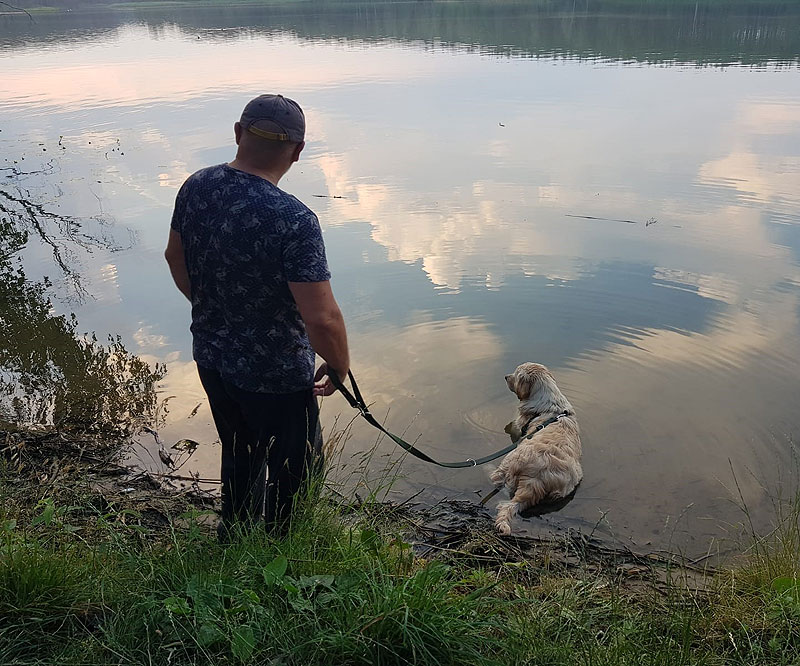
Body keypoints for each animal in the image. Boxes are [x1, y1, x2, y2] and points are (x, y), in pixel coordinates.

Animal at [488, 364, 580, 536]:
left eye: (516, 374)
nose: (506, 376)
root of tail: (535, 479)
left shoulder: (518, 425)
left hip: (508, 461)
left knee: (497, 477)